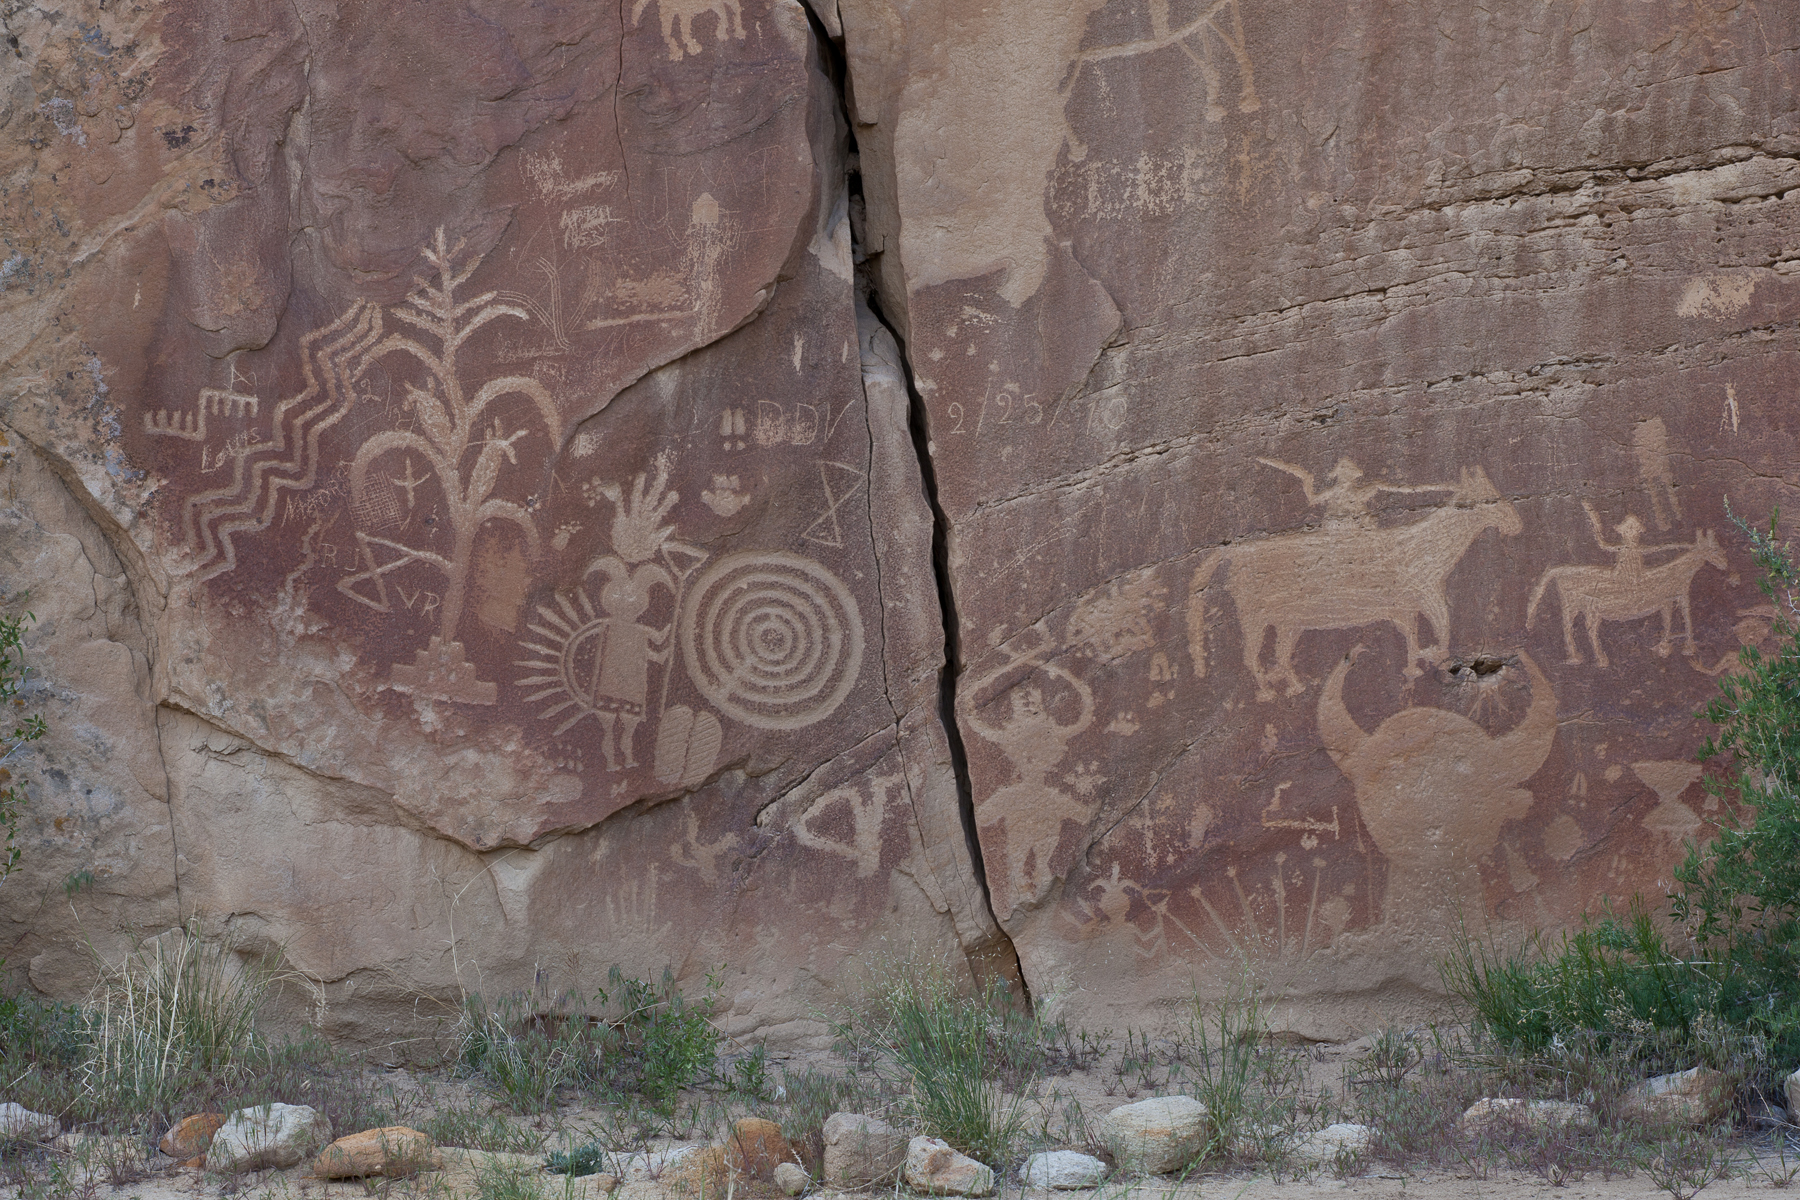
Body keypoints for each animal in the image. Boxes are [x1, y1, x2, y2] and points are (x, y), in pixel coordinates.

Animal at [1188, 464, 1526, 698]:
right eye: (1491, 497)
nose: (1516, 524)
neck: (1422, 548)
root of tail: (1234, 553)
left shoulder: (1406, 606)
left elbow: (1416, 634)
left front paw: (1415, 666)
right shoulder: (1422, 597)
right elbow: (1440, 627)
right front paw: (1439, 666)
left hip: (1288, 622)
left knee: (1281, 656)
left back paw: (1295, 688)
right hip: (1253, 616)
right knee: (1250, 656)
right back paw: (1268, 692)